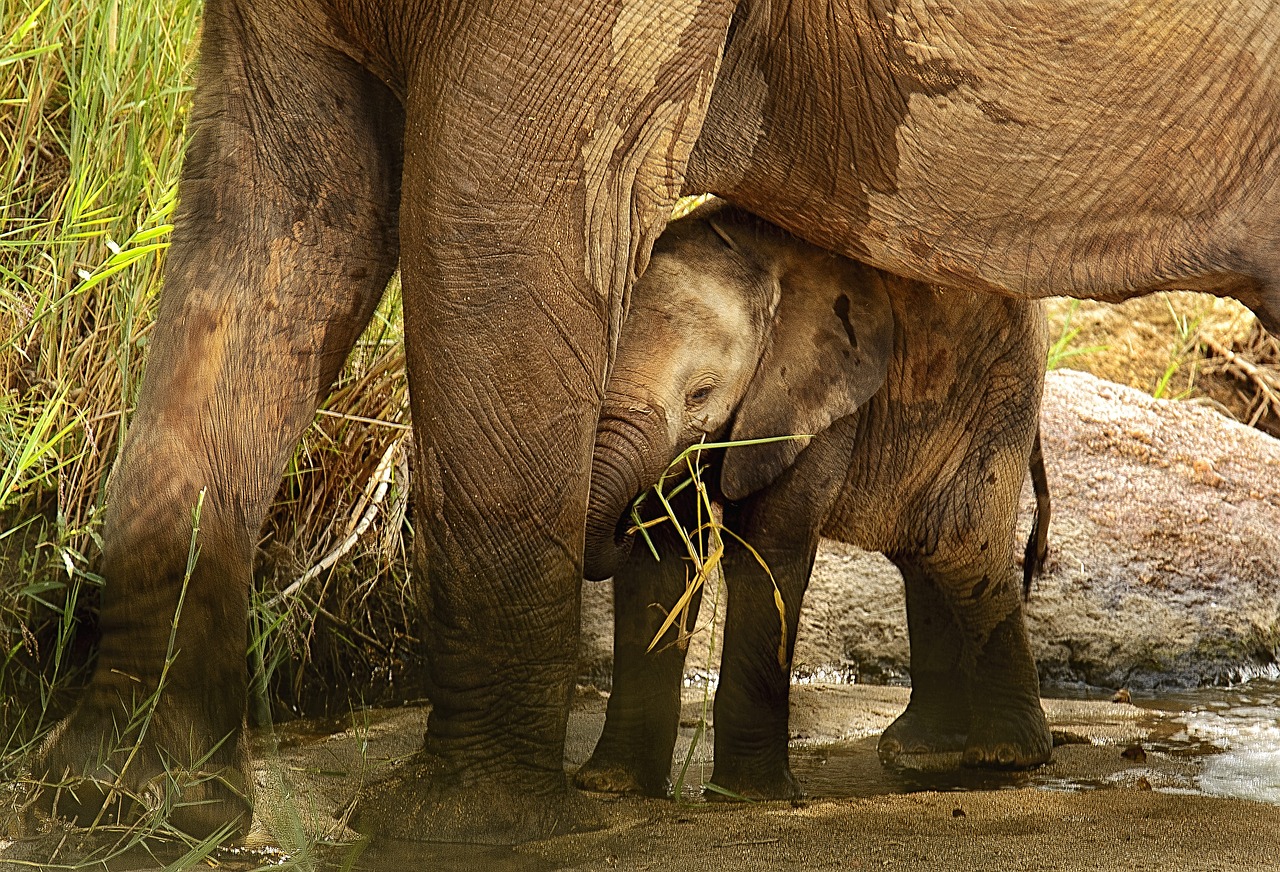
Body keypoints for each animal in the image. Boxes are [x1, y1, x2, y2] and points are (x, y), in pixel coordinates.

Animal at [578, 202, 1051, 798]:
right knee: (927, 559)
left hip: (1000, 395)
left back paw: (1004, 757)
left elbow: (768, 547)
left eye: (701, 394)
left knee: (963, 552)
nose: (620, 519)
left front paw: (750, 796)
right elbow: (661, 562)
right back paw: (921, 749)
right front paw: (611, 785)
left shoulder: (818, 392)